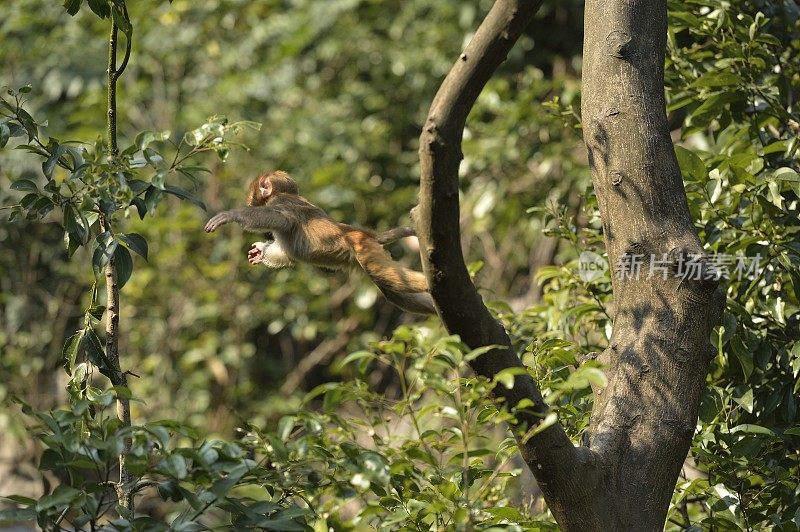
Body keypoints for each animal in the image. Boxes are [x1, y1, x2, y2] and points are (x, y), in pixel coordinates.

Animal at [203, 170, 434, 314]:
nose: (248, 200)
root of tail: (363, 233)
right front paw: (260, 251)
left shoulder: (281, 202)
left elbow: (280, 218)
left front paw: (231, 215)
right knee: (392, 290)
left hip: (362, 249)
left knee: (383, 273)